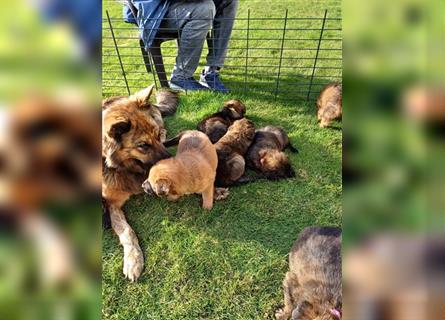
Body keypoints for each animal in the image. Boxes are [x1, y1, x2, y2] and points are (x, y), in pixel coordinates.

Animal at [101, 85, 178, 282]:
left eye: (156, 136)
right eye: (143, 145)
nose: (172, 162)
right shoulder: (112, 203)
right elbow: (127, 231)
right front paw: (133, 259)